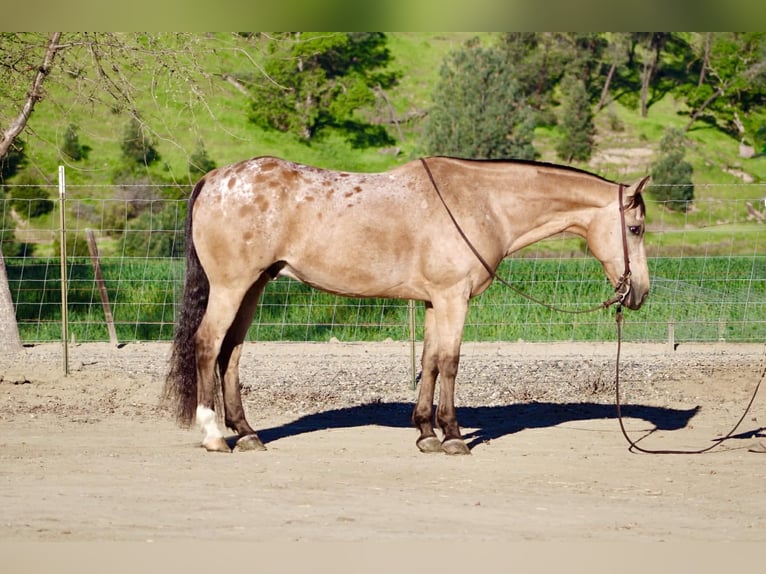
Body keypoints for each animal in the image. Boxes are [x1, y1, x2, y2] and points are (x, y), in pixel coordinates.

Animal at [163, 156, 650, 455]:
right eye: (636, 228)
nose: (641, 292)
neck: (482, 202)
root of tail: (213, 179)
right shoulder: (453, 298)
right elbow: (450, 363)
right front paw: (453, 436)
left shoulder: (436, 301)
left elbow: (430, 362)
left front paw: (425, 432)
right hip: (231, 287)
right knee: (208, 344)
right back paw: (214, 435)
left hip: (254, 288)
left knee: (231, 353)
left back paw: (247, 434)